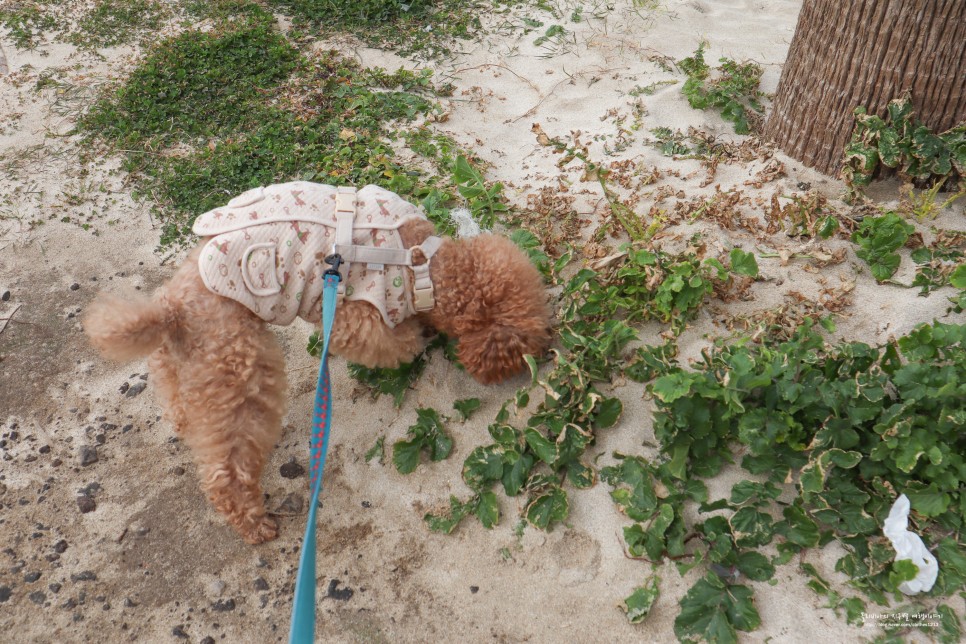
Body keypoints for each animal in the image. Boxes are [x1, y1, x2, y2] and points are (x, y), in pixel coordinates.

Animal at [85, 205, 552, 544]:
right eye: (523, 346)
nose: (548, 348)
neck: (422, 263)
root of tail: (172, 309)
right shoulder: (356, 315)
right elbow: (393, 342)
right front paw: (416, 337)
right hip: (241, 371)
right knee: (226, 470)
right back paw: (255, 525)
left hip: (182, 365)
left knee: (179, 405)